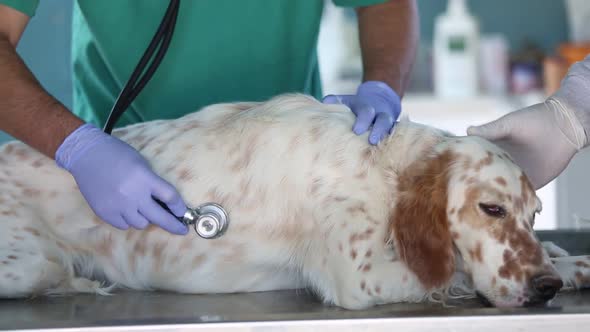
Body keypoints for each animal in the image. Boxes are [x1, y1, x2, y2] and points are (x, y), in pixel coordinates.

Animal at [1, 94, 590, 308]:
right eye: (491, 209)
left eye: (534, 215)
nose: (544, 289)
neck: (383, 166)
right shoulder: (359, 280)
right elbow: (453, 271)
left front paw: (569, 263)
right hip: (28, 263)